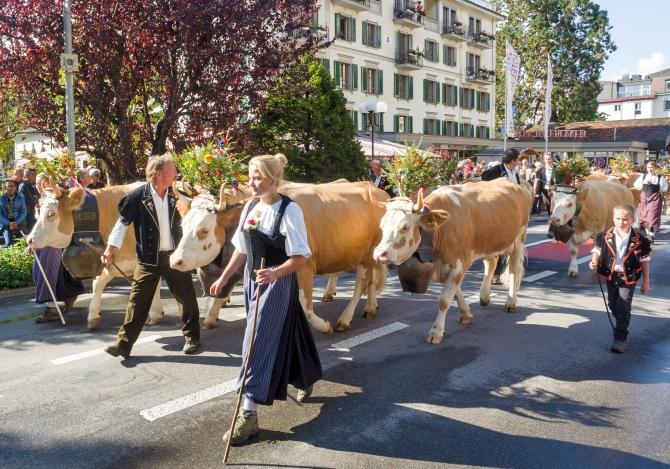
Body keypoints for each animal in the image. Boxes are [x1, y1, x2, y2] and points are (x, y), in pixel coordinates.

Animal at [27, 181, 167, 328]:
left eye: (51, 214)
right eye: (38, 212)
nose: (29, 240)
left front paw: (155, 313)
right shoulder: (110, 260)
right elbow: (98, 283)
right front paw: (93, 316)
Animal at [168, 180, 392, 332]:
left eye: (204, 230)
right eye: (183, 225)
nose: (175, 261)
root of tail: (376, 189)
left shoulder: (304, 265)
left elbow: (306, 305)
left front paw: (323, 326)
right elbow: (222, 288)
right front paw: (211, 317)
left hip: (367, 255)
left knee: (361, 285)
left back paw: (345, 319)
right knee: (371, 282)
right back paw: (370, 307)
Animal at [372, 179, 536, 344]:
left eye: (405, 227)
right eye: (382, 226)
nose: (379, 253)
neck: (440, 231)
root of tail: (517, 183)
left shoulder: (460, 263)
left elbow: (444, 300)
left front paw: (436, 331)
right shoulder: (444, 266)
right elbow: (455, 293)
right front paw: (466, 314)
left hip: (519, 239)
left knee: (514, 270)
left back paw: (511, 302)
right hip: (489, 241)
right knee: (491, 262)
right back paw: (484, 296)